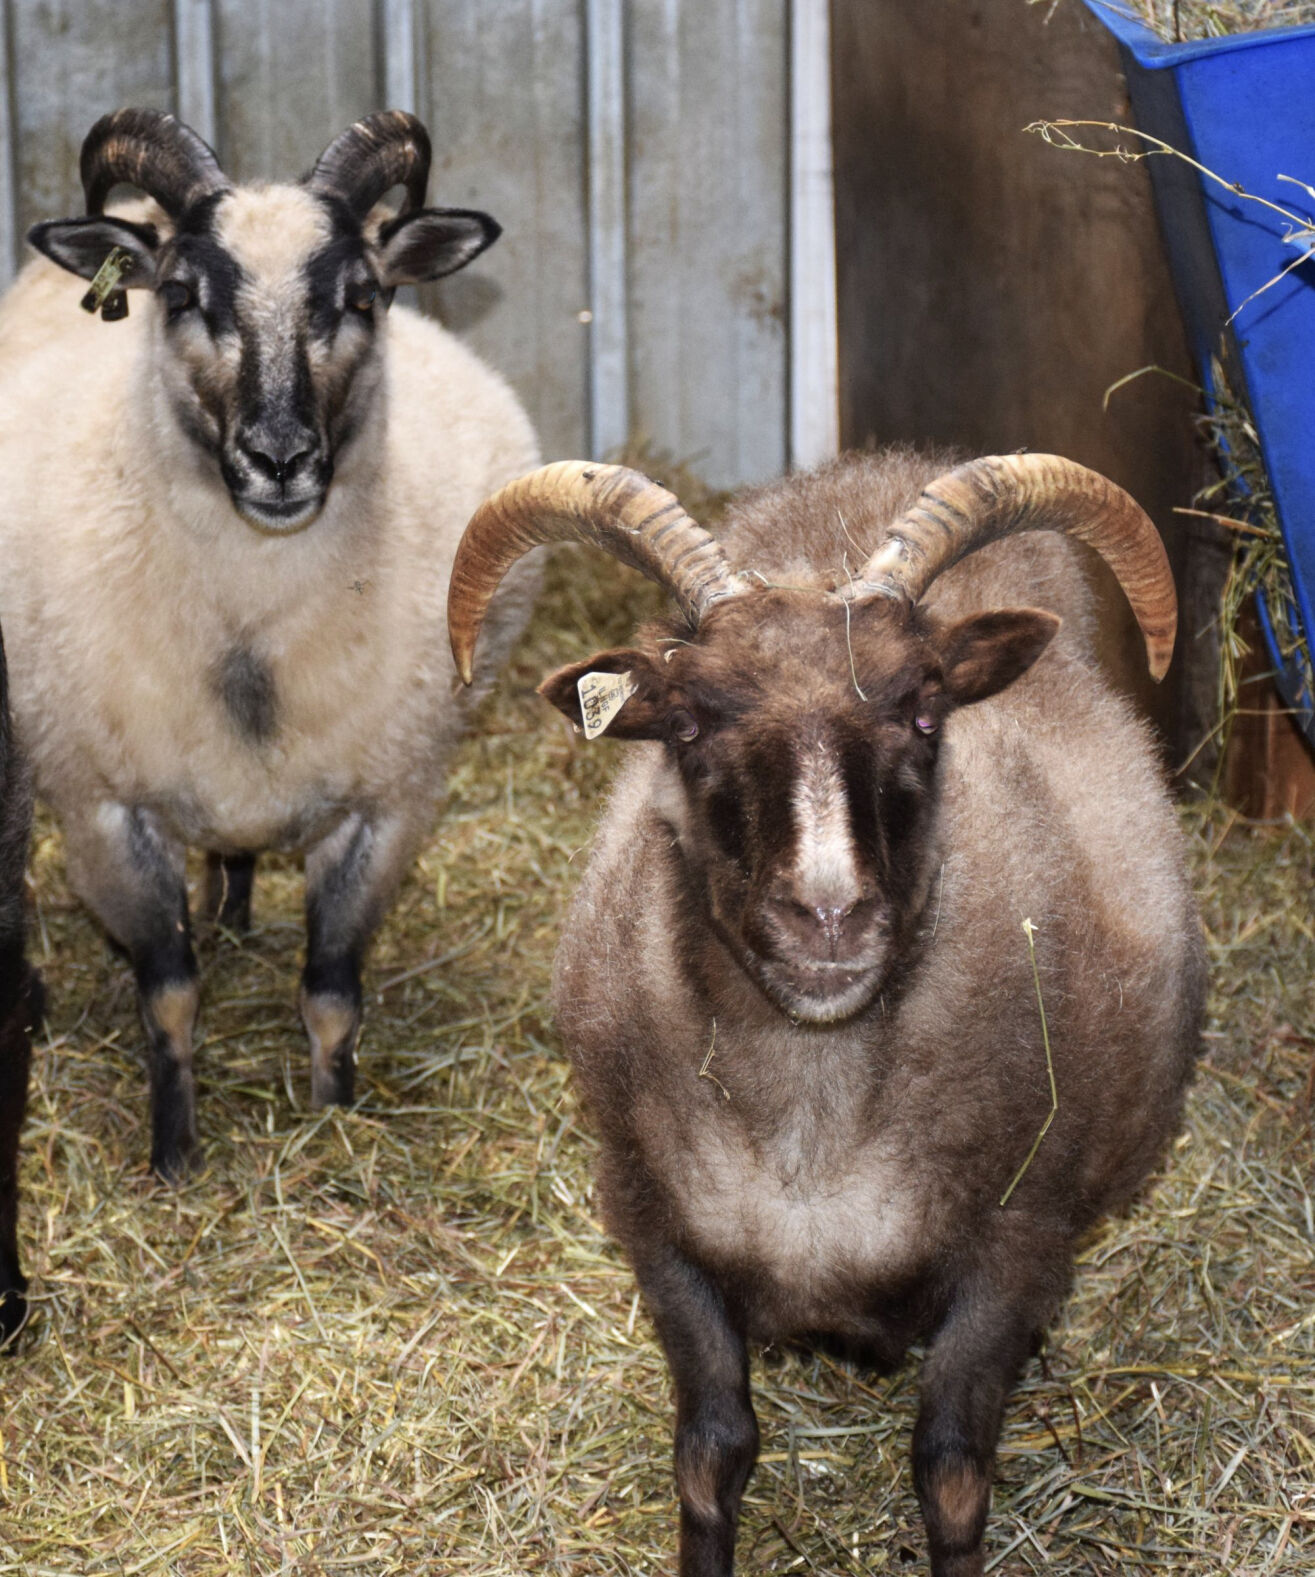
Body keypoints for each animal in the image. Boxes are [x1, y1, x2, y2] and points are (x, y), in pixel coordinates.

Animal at [0, 108, 540, 1181]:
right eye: (180, 294)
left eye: (362, 295)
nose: (279, 459)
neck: (254, 618)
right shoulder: (107, 809)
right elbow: (169, 995)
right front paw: (175, 1154)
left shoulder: (384, 806)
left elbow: (331, 990)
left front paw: (334, 1125)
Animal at [447, 448, 1207, 1577]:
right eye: (684, 721)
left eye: (925, 710)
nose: (829, 914)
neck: (809, 1124)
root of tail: (886, 461)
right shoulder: (654, 1228)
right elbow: (710, 1453)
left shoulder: (1016, 1244)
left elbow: (950, 1470)